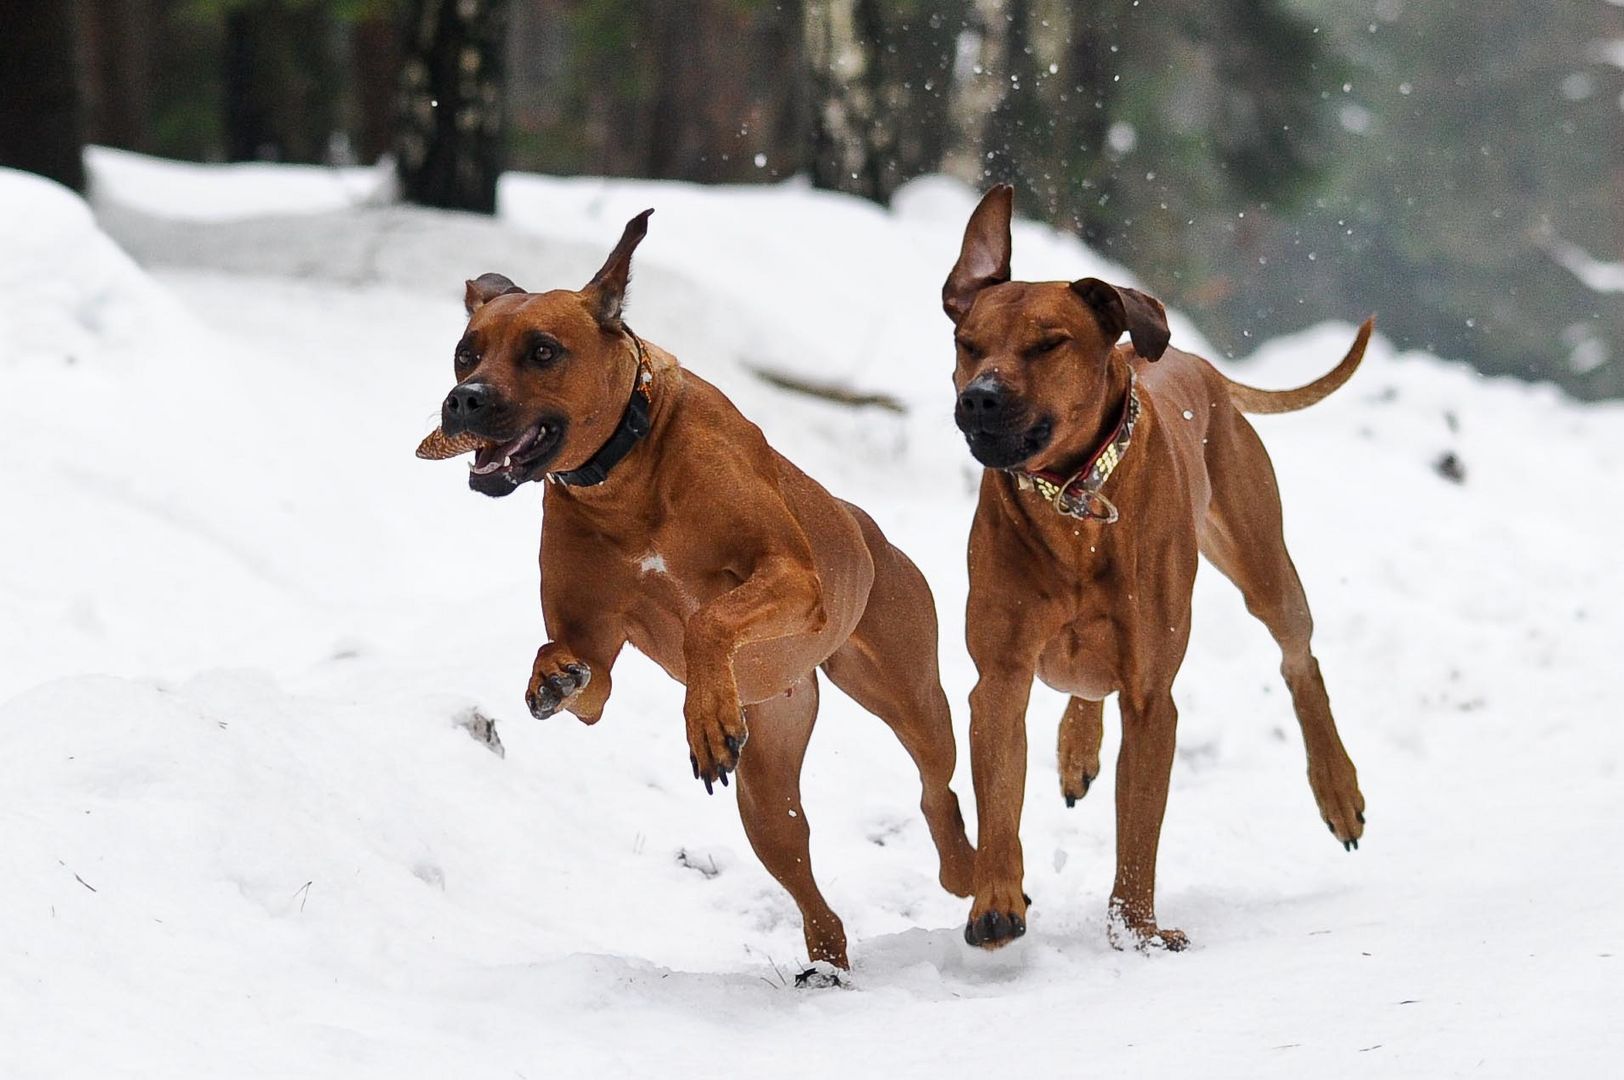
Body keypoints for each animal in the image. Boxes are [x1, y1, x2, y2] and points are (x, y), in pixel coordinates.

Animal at [422, 211, 974, 967]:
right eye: (464, 354)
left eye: (541, 351)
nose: (464, 400)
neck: (624, 476)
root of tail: (869, 528)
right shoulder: (595, 658)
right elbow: (576, 668)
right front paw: (554, 677)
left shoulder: (794, 577)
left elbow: (705, 620)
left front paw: (705, 712)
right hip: (768, 779)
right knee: (802, 867)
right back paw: (828, 961)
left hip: (911, 690)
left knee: (935, 785)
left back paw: (971, 874)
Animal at [941, 187, 1370, 954]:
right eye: (969, 345)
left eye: (1048, 344)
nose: (979, 396)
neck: (1074, 499)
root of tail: (1202, 364)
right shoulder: (999, 680)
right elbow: (999, 805)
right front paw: (996, 902)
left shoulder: (1152, 696)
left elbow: (1139, 832)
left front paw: (1136, 932)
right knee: (1084, 682)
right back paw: (1077, 748)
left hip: (1262, 564)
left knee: (1299, 658)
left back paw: (1338, 789)